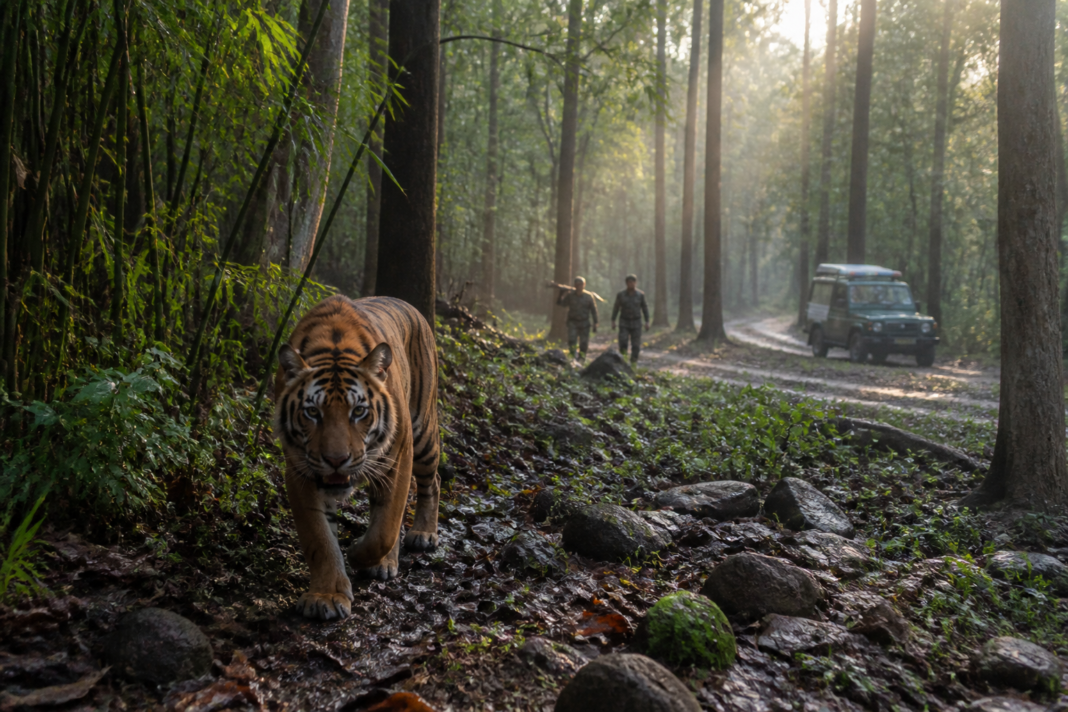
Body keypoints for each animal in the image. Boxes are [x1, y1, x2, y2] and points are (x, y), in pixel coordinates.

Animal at [274, 295, 440, 620]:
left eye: (359, 411)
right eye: (312, 412)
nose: (336, 459)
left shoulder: (397, 457)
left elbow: (384, 530)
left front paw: (358, 554)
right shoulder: (300, 472)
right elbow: (319, 538)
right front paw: (326, 596)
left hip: (423, 435)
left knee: (432, 483)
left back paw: (422, 535)